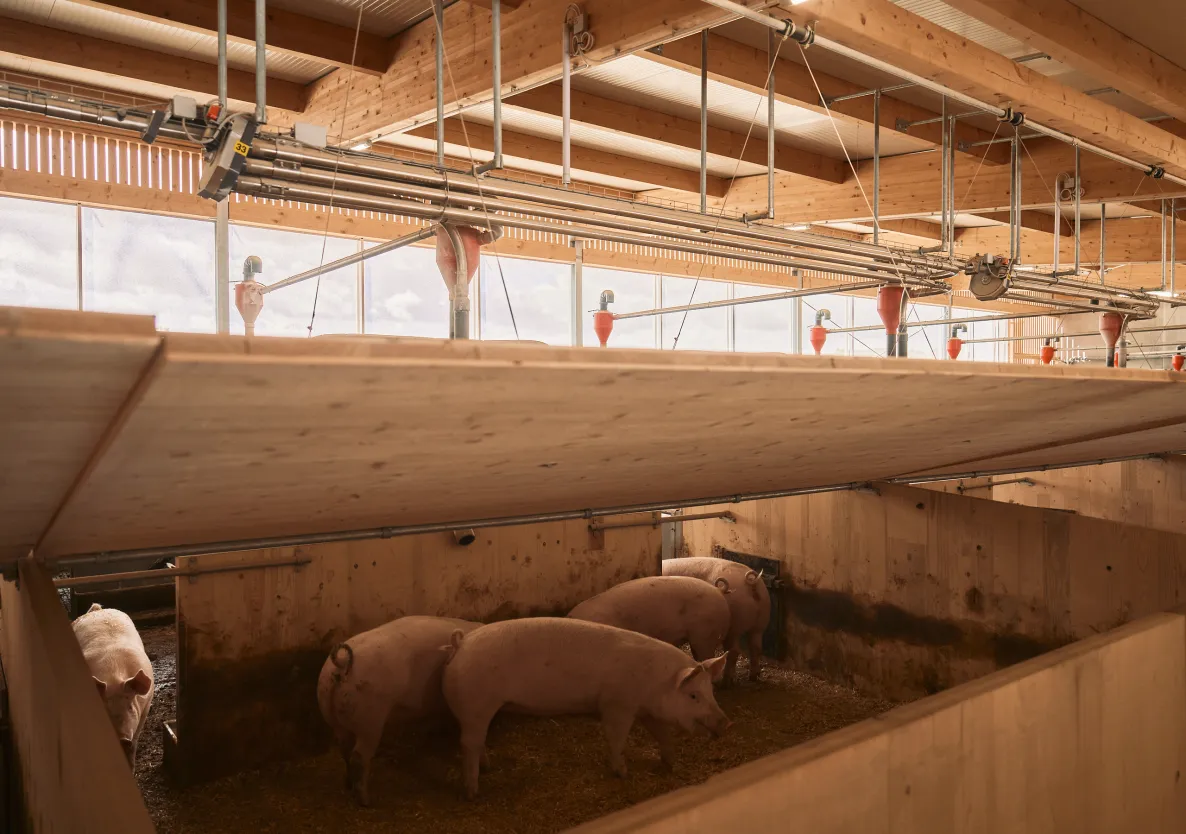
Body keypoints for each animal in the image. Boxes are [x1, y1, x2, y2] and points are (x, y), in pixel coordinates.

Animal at [71, 607, 154, 768]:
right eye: (105, 708)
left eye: (130, 706)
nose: (123, 739)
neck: (113, 677)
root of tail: (98, 609)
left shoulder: (145, 709)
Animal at [317, 616, 483, 806]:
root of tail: (343, 664)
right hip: (370, 721)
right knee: (359, 756)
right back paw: (366, 801)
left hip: (335, 718)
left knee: (344, 749)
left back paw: (348, 784)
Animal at [441, 616, 725, 797]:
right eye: (693, 696)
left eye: (711, 691)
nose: (726, 720)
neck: (654, 681)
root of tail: (461, 644)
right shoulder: (617, 704)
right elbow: (616, 738)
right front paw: (622, 773)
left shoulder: (646, 710)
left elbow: (663, 735)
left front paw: (670, 763)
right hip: (476, 706)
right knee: (468, 744)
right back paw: (473, 792)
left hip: (477, 711)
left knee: (478, 741)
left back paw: (487, 768)